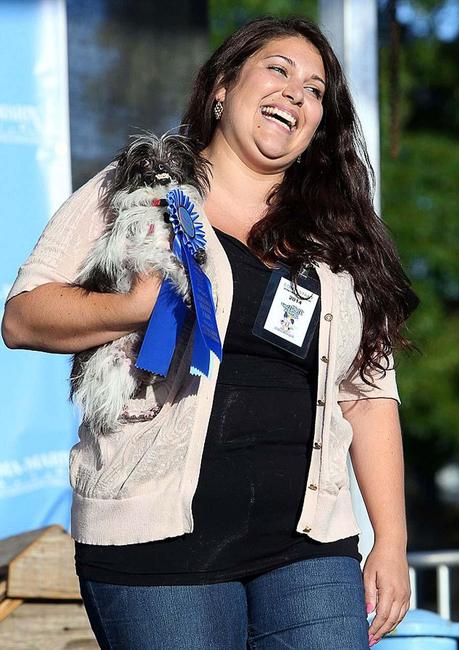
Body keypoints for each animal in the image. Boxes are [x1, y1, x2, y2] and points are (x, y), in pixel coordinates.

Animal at [69, 130, 212, 436]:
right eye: (145, 161)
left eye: (173, 159)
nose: (160, 166)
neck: (161, 205)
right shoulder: (144, 251)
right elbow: (172, 261)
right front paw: (187, 285)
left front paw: (198, 260)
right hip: (115, 367)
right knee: (108, 413)